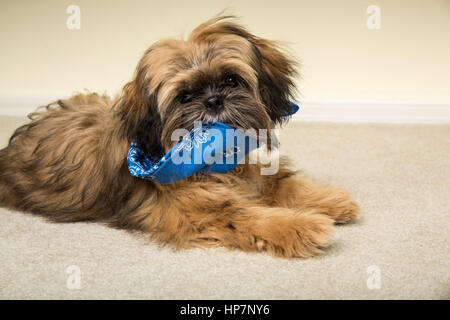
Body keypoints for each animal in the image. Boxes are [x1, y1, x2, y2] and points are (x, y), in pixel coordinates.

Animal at [0, 16, 358, 258]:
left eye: (231, 80)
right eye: (184, 97)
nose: (213, 101)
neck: (216, 164)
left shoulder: (254, 174)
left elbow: (282, 183)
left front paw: (331, 201)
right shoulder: (201, 214)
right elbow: (253, 217)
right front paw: (305, 227)